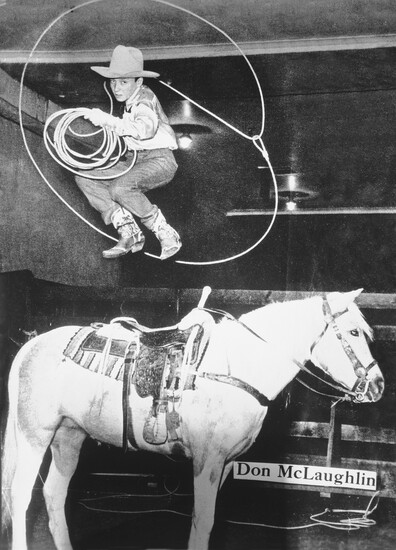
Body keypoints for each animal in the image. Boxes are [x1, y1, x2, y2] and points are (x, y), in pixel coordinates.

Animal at [0, 292, 384, 548]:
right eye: (353, 332)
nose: (378, 385)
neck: (235, 368)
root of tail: (29, 347)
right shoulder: (207, 460)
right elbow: (203, 521)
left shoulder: (226, 464)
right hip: (35, 435)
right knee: (21, 496)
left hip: (69, 437)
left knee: (53, 494)